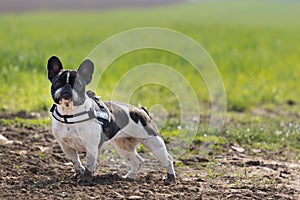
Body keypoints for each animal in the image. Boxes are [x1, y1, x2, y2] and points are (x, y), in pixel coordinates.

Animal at [47, 55, 176, 184]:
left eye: (78, 85)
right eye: (57, 82)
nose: (66, 89)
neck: (69, 114)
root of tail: (141, 111)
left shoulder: (91, 146)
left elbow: (89, 164)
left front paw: (86, 179)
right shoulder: (66, 146)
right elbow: (76, 161)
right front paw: (79, 172)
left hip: (153, 142)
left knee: (168, 159)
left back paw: (170, 178)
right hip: (123, 146)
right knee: (137, 161)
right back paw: (129, 177)